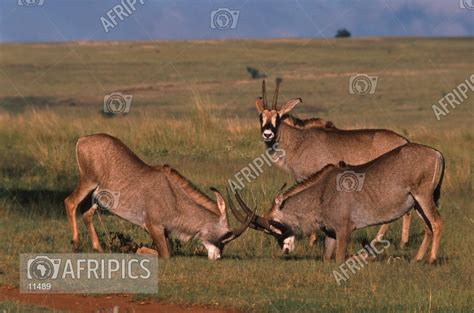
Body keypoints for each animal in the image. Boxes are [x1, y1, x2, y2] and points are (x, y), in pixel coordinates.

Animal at [65, 133, 256, 258]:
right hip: (88, 182)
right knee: (70, 202)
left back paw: (98, 248)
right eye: (225, 238)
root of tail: (82, 140)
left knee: (87, 212)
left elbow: (168, 250)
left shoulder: (164, 231)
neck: (173, 197)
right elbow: (165, 254)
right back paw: (75, 243)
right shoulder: (152, 226)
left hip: (97, 195)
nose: (217, 258)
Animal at [235, 142, 442, 264]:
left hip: (423, 197)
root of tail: (436, 153)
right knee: (428, 227)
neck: (322, 190)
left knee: (437, 222)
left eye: (274, 224)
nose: (285, 249)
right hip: (417, 204)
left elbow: (339, 259)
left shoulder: (344, 230)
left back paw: (431, 259)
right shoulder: (331, 233)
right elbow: (327, 258)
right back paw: (416, 259)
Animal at [256, 80, 412, 249]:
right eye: (261, 116)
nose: (267, 134)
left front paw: (312, 241)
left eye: (277, 117)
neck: (299, 140)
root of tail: (404, 141)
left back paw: (388, 241)